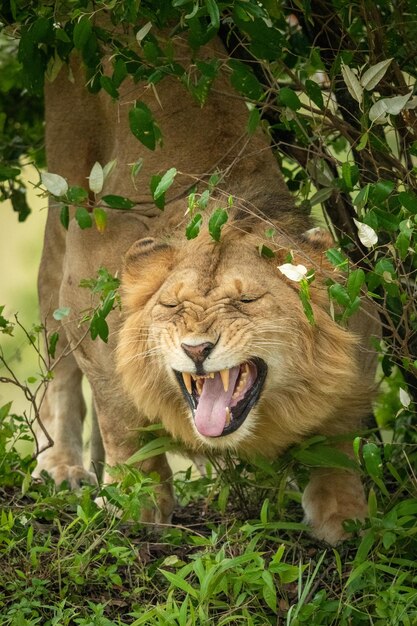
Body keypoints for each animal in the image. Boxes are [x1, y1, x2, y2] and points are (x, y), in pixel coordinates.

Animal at [34, 25, 378, 540]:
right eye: (172, 307)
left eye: (247, 300)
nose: (197, 350)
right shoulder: (83, 284)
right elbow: (120, 413)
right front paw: (137, 503)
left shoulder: (362, 326)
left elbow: (339, 435)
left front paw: (345, 516)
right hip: (66, 195)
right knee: (57, 365)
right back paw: (63, 467)